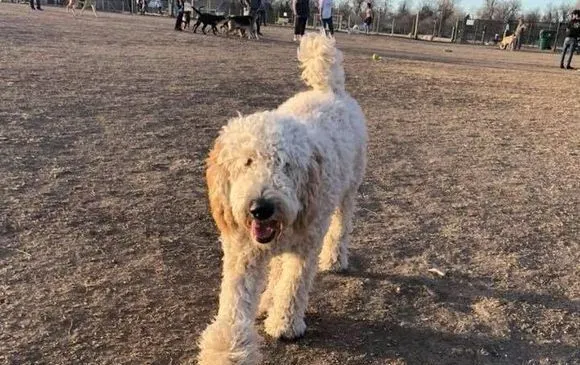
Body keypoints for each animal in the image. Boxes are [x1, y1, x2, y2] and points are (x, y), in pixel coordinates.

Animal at [197, 32, 364, 362]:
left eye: (287, 165)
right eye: (247, 162)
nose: (261, 207)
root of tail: (330, 89)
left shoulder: (306, 244)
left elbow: (294, 284)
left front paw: (285, 324)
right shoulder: (243, 254)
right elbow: (234, 307)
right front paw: (228, 352)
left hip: (349, 189)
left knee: (341, 226)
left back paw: (335, 258)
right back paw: (266, 299)